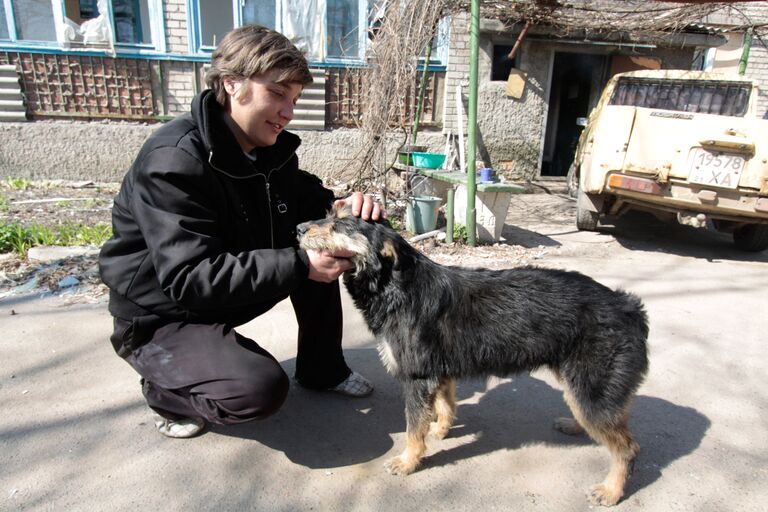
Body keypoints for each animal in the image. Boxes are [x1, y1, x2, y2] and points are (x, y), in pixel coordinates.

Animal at [298, 206, 648, 506]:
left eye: (343, 224)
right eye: (329, 213)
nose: (299, 228)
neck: (397, 286)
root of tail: (628, 306)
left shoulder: (416, 377)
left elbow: (412, 429)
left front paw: (409, 460)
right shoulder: (437, 371)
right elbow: (445, 404)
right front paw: (440, 429)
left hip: (593, 387)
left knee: (628, 448)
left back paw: (611, 490)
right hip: (579, 382)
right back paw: (575, 425)